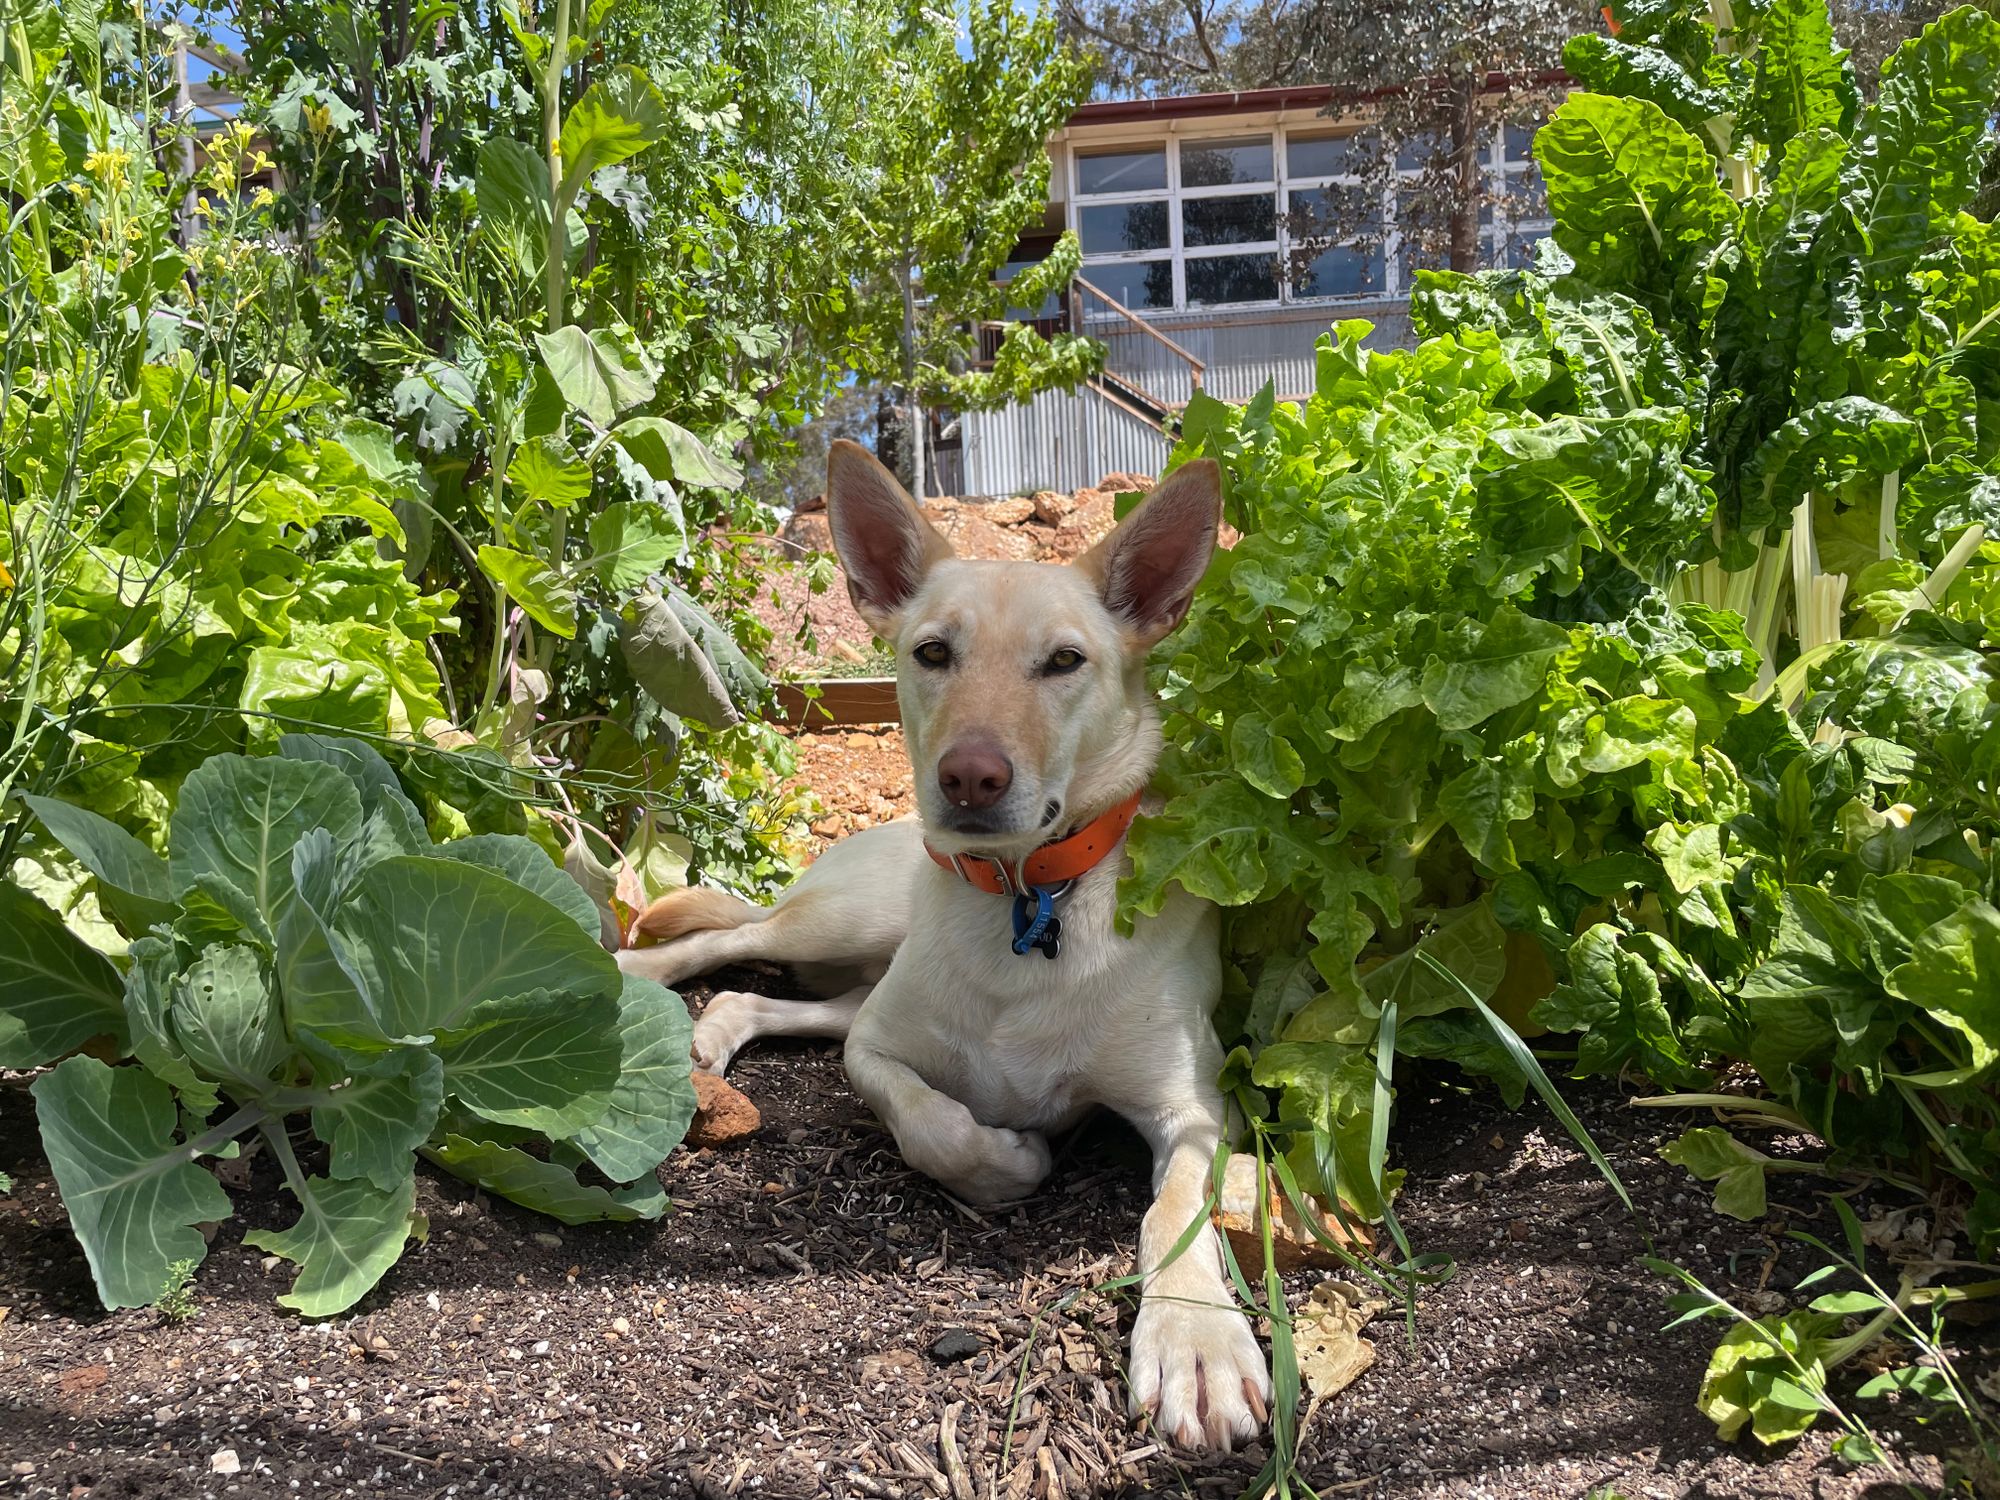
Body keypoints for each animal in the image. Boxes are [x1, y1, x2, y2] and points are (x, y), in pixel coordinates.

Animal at [624, 440, 1272, 1448]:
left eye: (1065, 661)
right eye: (933, 652)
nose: (969, 777)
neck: (1025, 903)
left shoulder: (1197, 1108)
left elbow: (1172, 1212)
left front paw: (1195, 1342)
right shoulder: (877, 1051)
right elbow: (930, 1124)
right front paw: (1007, 1164)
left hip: (859, 969)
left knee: (755, 993)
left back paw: (714, 1036)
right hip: (850, 920)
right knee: (730, 941)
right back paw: (630, 967)